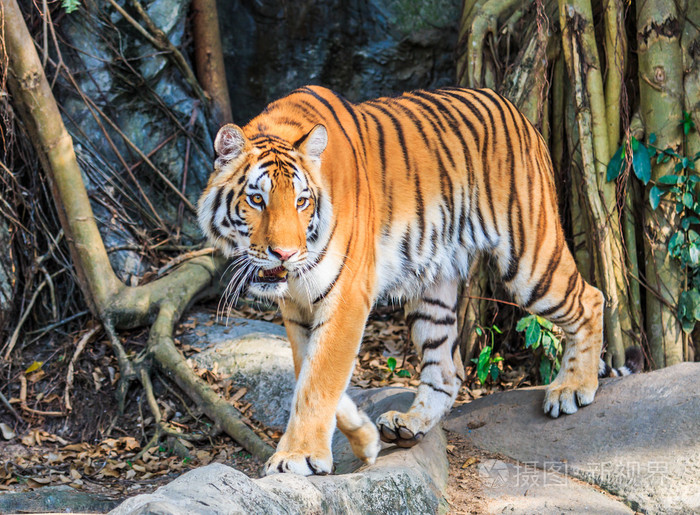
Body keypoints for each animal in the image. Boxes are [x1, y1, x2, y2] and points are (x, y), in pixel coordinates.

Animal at [197, 84, 608, 476]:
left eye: (301, 202)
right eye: (257, 200)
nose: (284, 254)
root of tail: (516, 111)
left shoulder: (347, 297)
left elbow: (319, 381)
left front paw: (297, 457)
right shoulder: (297, 308)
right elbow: (309, 374)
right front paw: (364, 440)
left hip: (530, 258)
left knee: (591, 297)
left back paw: (573, 389)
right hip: (432, 288)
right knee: (448, 369)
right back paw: (409, 424)